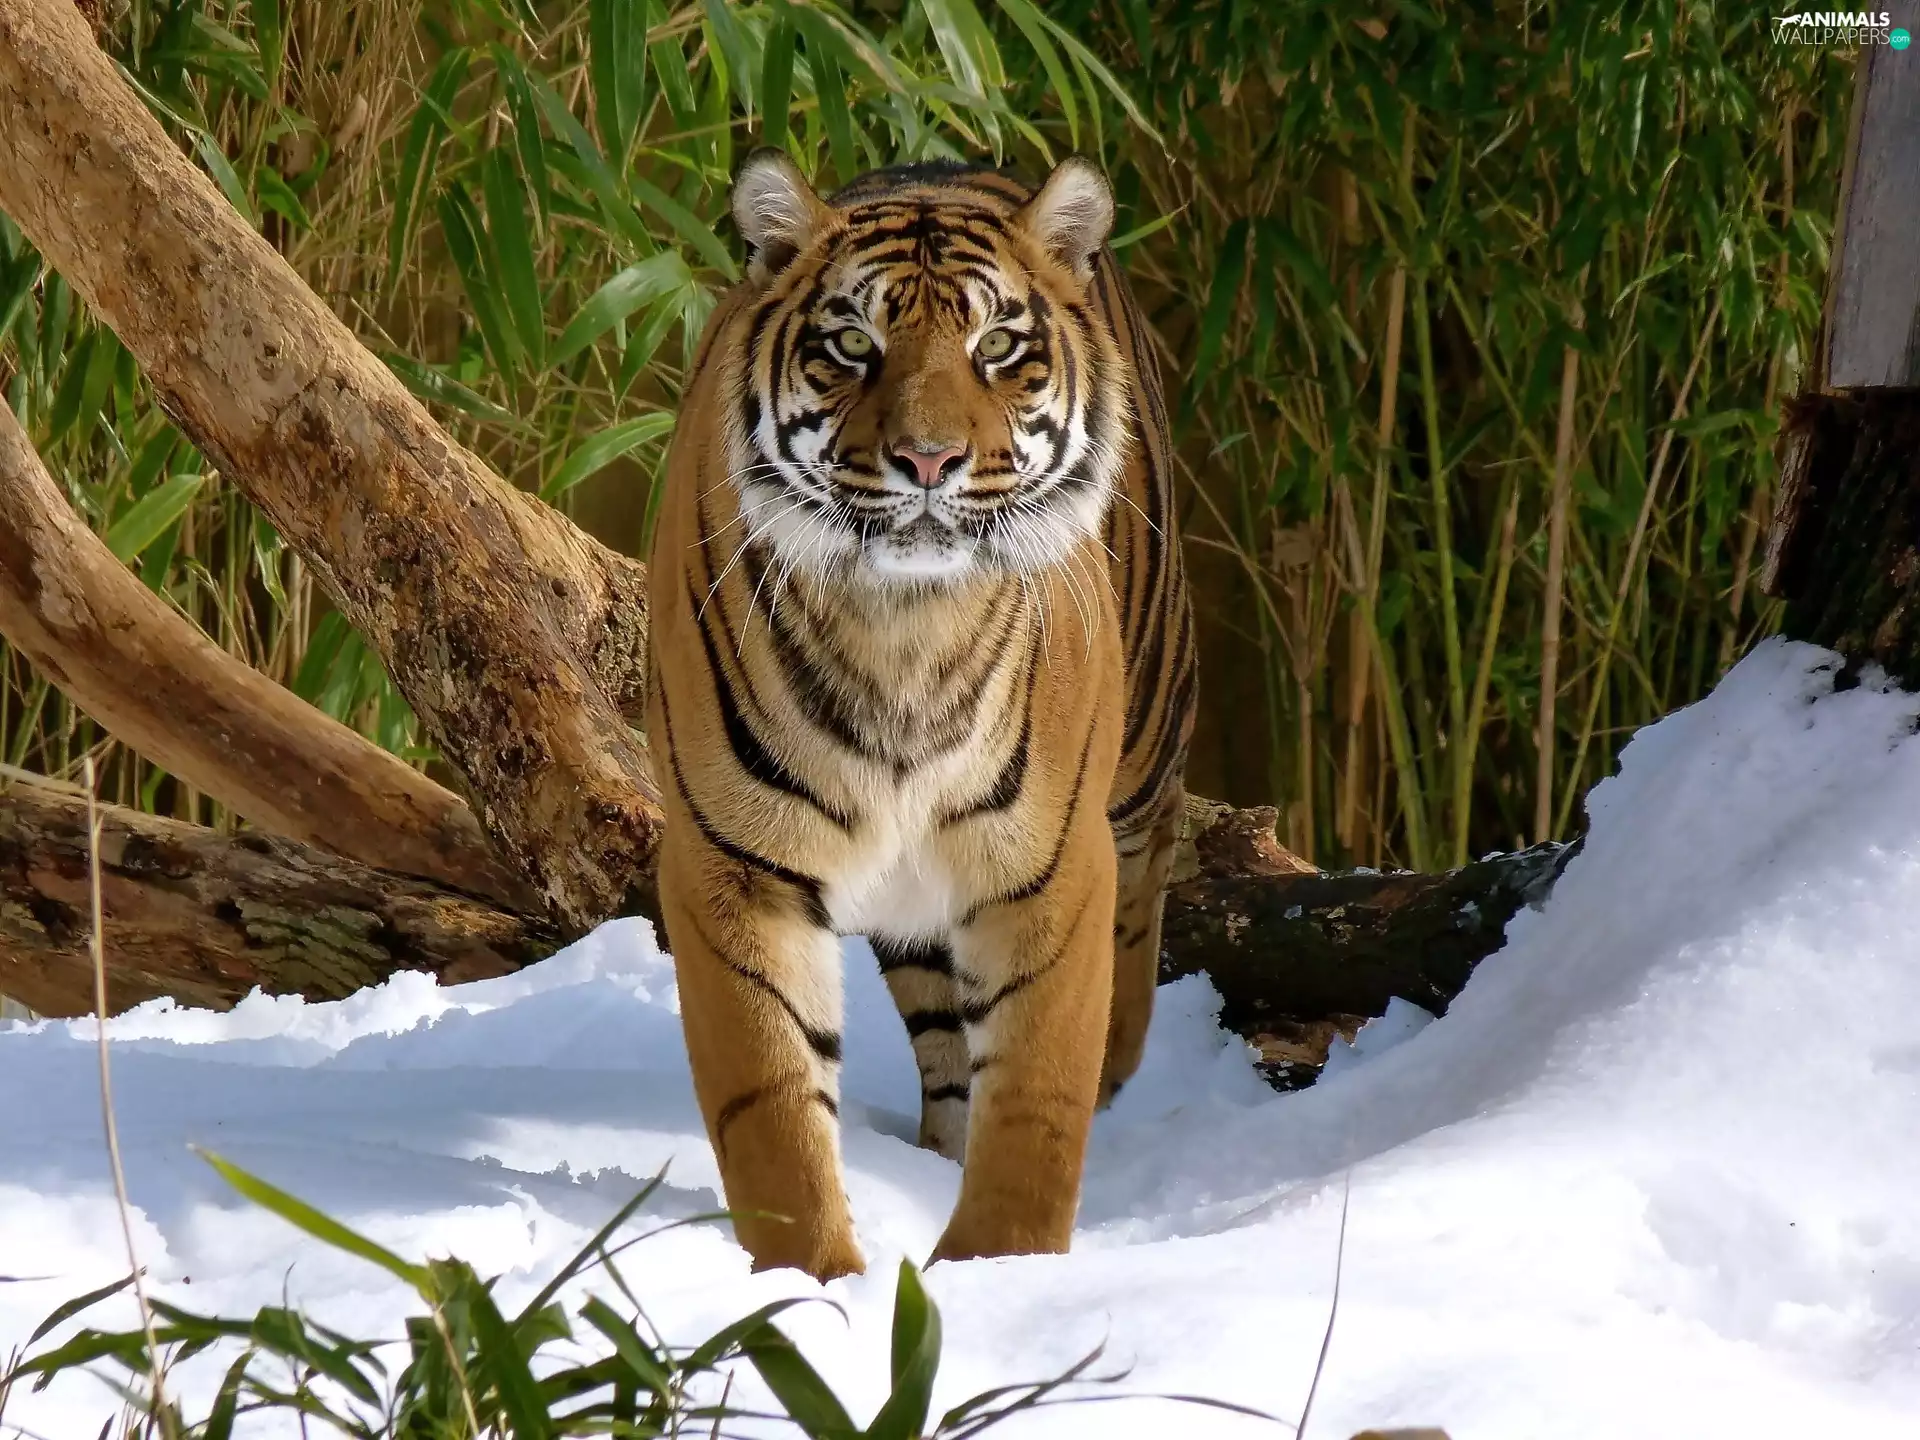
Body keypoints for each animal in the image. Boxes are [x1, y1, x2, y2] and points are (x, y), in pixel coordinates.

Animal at [644, 150, 1196, 1281]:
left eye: (999, 347)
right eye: (854, 344)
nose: (930, 461)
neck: (903, 628)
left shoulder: (1050, 866)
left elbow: (1037, 1101)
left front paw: (1003, 1274)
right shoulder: (734, 866)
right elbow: (772, 1109)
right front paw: (816, 1290)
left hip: (1148, 734)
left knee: (1150, 867)